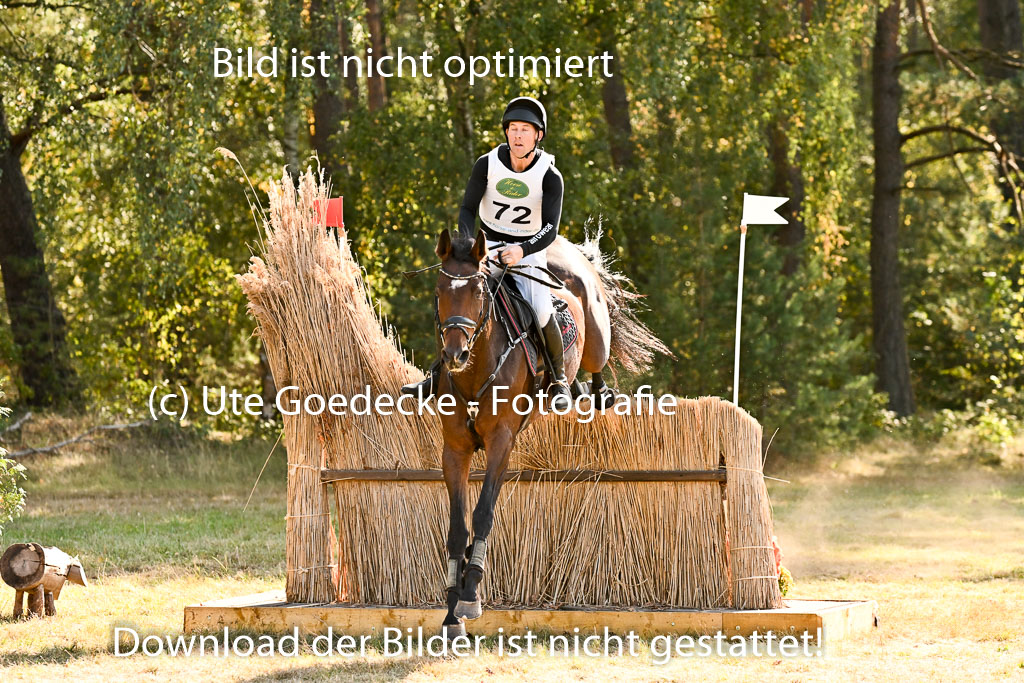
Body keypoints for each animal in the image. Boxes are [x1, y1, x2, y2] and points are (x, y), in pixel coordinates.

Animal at [431, 227, 668, 637]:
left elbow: (483, 513)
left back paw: (594, 392)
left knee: (596, 358)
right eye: (440, 289)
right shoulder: (455, 450)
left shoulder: (501, 442)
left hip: (596, 335)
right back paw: (572, 389)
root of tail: (564, 248)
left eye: (478, 291)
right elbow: (457, 527)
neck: (477, 369)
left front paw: (470, 594)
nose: (454, 356)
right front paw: (451, 614)